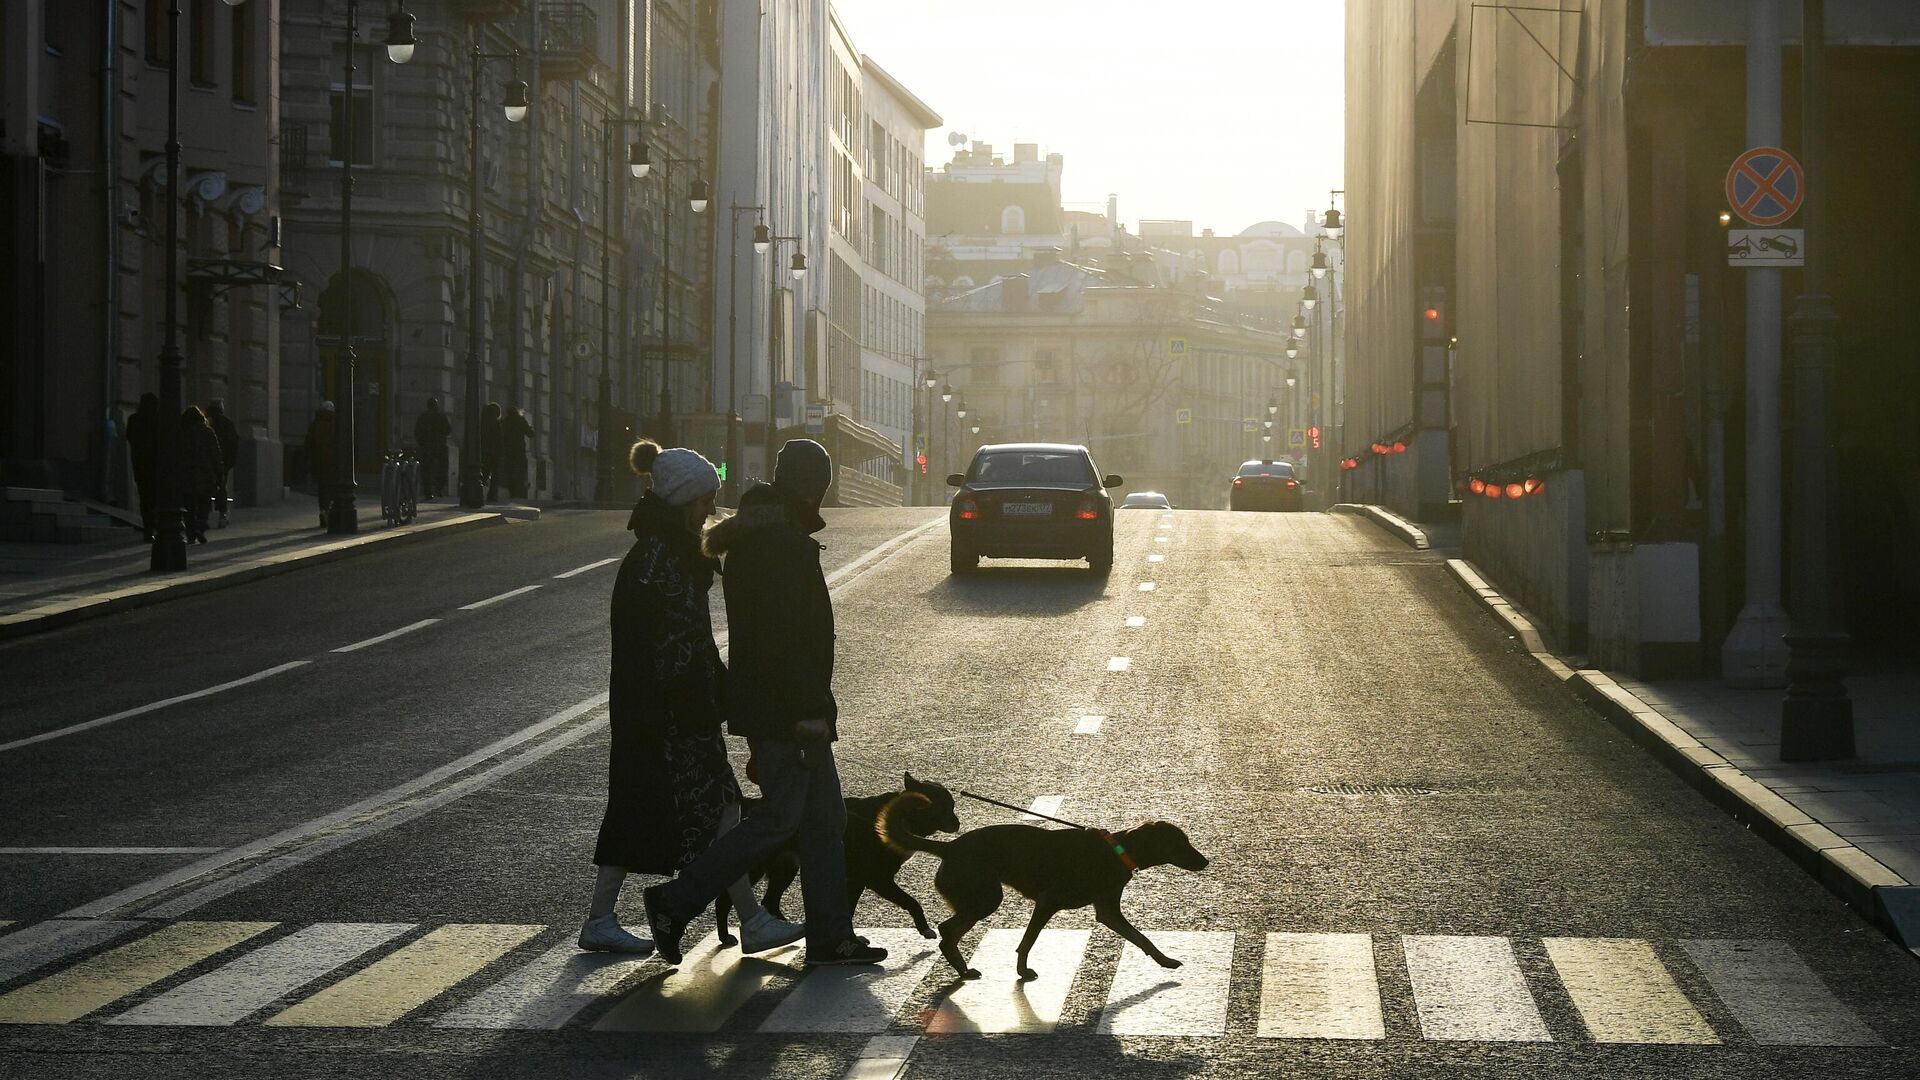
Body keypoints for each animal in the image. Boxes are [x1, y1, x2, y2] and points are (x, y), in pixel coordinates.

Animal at [718, 772, 967, 941]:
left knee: (770, 900)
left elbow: (849, 910)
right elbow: (911, 901)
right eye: (946, 807)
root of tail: (750, 803)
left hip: (786, 868)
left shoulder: (856, 881)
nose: (958, 823)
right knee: (726, 899)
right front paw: (924, 929)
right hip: (756, 867)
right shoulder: (878, 880)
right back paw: (725, 937)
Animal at [879, 791, 1205, 976]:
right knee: (948, 931)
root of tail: (950, 847)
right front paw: (1022, 972)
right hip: (985, 898)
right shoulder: (1048, 903)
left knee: (950, 932)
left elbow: (1141, 938)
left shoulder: (1108, 912)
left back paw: (962, 970)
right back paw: (964, 970)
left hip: (978, 899)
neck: (1117, 850)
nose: (1206, 862)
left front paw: (1165, 961)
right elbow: (1027, 941)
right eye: (1181, 844)